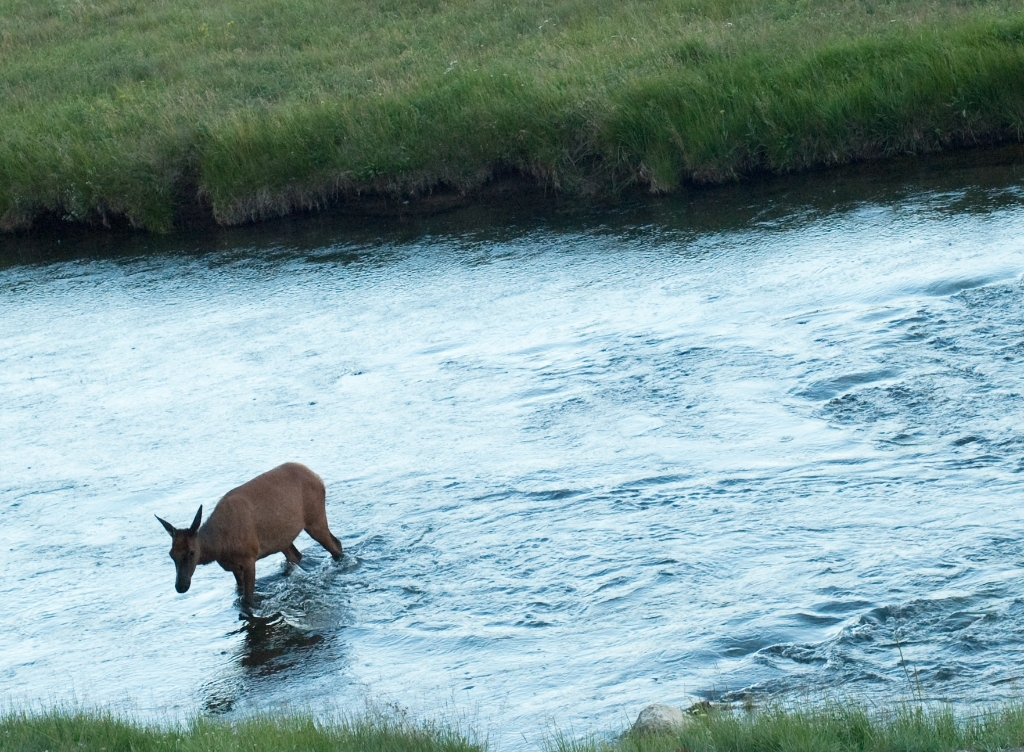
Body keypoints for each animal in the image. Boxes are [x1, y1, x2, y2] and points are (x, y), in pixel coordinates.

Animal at [156, 462, 343, 605]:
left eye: (192, 552)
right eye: (171, 555)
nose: (181, 586)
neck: (220, 548)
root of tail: (318, 477)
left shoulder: (249, 558)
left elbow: (248, 601)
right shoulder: (234, 568)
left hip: (315, 520)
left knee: (336, 546)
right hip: (282, 539)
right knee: (296, 555)